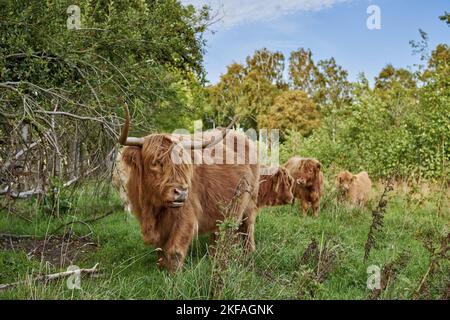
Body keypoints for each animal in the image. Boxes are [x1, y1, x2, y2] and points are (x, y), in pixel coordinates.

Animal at [118, 104, 260, 272]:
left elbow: (174, 252)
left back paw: (248, 254)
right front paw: (161, 269)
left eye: (184, 165)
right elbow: (160, 251)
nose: (181, 192)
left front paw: (173, 275)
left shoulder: (186, 216)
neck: (153, 208)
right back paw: (215, 256)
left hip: (250, 200)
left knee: (247, 227)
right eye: (155, 163)